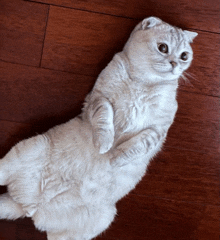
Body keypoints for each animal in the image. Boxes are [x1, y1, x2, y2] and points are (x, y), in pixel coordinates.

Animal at [0, 17, 197, 240]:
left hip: (87, 226)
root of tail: (30, 206)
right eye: (163, 48)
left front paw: (115, 159)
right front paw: (104, 145)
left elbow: (139, 144)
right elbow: (105, 118)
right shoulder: (100, 99)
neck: (144, 83)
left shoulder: (158, 131)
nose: (175, 64)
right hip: (27, 151)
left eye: (184, 56)